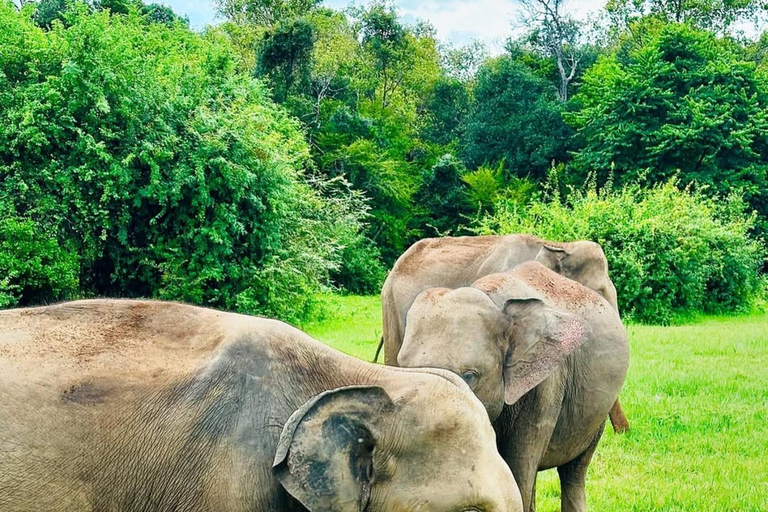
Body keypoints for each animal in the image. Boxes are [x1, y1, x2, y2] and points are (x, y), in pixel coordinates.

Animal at [396, 262, 630, 512]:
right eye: (402, 367)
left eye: (469, 376)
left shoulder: (547, 383)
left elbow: (520, 465)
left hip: (596, 413)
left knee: (574, 471)